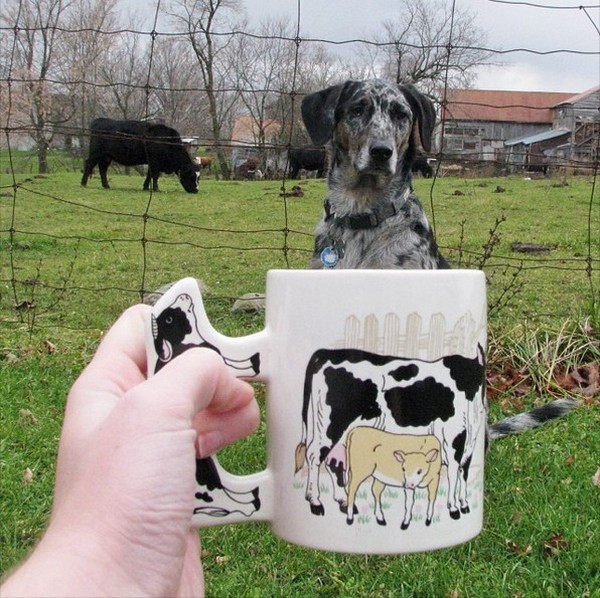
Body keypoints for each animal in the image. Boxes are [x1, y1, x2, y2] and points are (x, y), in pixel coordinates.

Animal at [296, 346, 488, 520]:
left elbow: (464, 471)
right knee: (314, 455)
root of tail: (325, 353)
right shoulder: (454, 436)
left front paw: (464, 504)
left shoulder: (470, 442)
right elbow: (454, 472)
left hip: (342, 433)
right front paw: (453, 508)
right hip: (330, 425)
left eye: (478, 377)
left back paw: (344, 502)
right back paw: (315, 502)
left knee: (334, 461)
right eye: (465, 378)